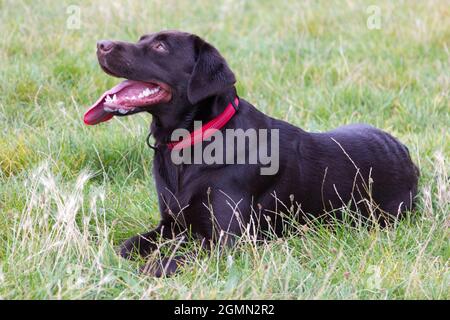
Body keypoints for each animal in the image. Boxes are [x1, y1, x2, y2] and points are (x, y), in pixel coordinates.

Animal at [83, 30, 418, 276]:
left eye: (160, 46)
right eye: (142, 38)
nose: (100, 44)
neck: (192, 143)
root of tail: (404, 152)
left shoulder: (228, 241)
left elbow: (173, 260)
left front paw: (147, 268)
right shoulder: (171, 224)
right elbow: (128, 245)